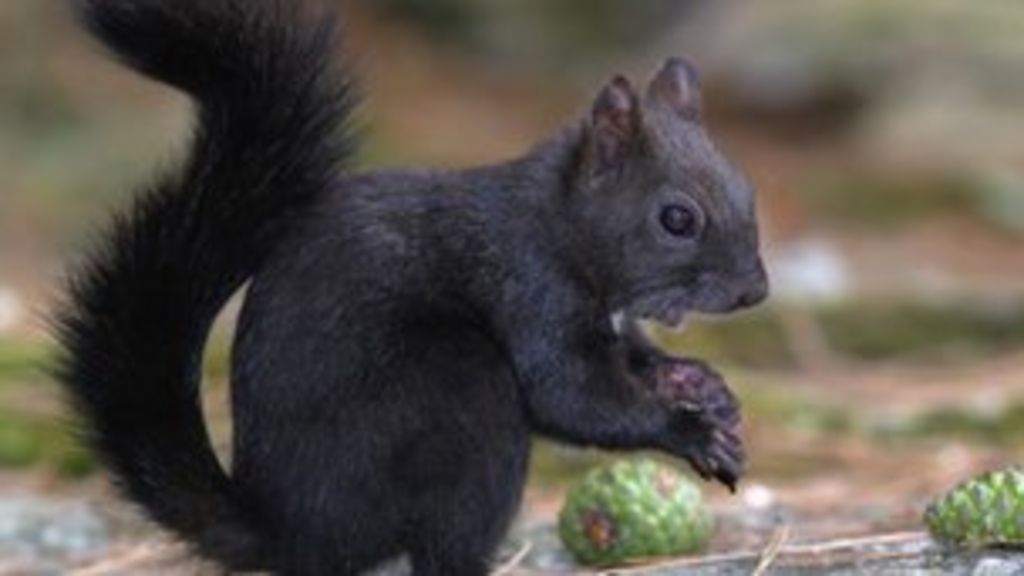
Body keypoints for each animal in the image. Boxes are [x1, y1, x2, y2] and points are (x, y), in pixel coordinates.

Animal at [51, 1, 765, 573]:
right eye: (677, 218)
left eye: (746, 189)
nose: (754, 292)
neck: (561, 228)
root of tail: (288, 531)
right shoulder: (530, 290)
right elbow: (572, 397)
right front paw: (689, 431)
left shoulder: (612, 323)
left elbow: (635, 360)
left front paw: (702, 383)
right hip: (458, 393)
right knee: (444, 542)